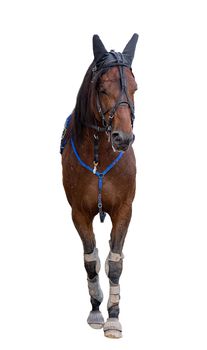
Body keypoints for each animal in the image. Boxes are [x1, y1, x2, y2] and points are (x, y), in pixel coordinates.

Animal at [61, 34, 139, 338]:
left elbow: (115, 263)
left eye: (135, 88)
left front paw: (114, 317)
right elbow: (90, 259)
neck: (100, 155)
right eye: (102, 88)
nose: (122, 138)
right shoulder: (79, 212)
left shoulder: (124, 209)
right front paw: (96, 311)